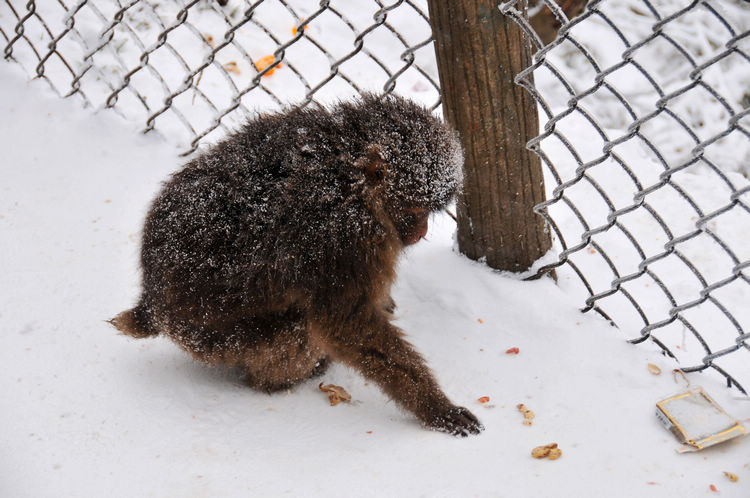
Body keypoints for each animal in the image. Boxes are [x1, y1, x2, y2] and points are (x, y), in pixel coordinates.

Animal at [112, 93, 488, 436]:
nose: (421, 231)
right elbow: (345, 327)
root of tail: (150, 303)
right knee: (301, 327)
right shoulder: (343, 238)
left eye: (426, 214)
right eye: (416, 211)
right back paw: (282, 380)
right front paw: (434, 406)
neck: (353, 178)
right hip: (215, 339)